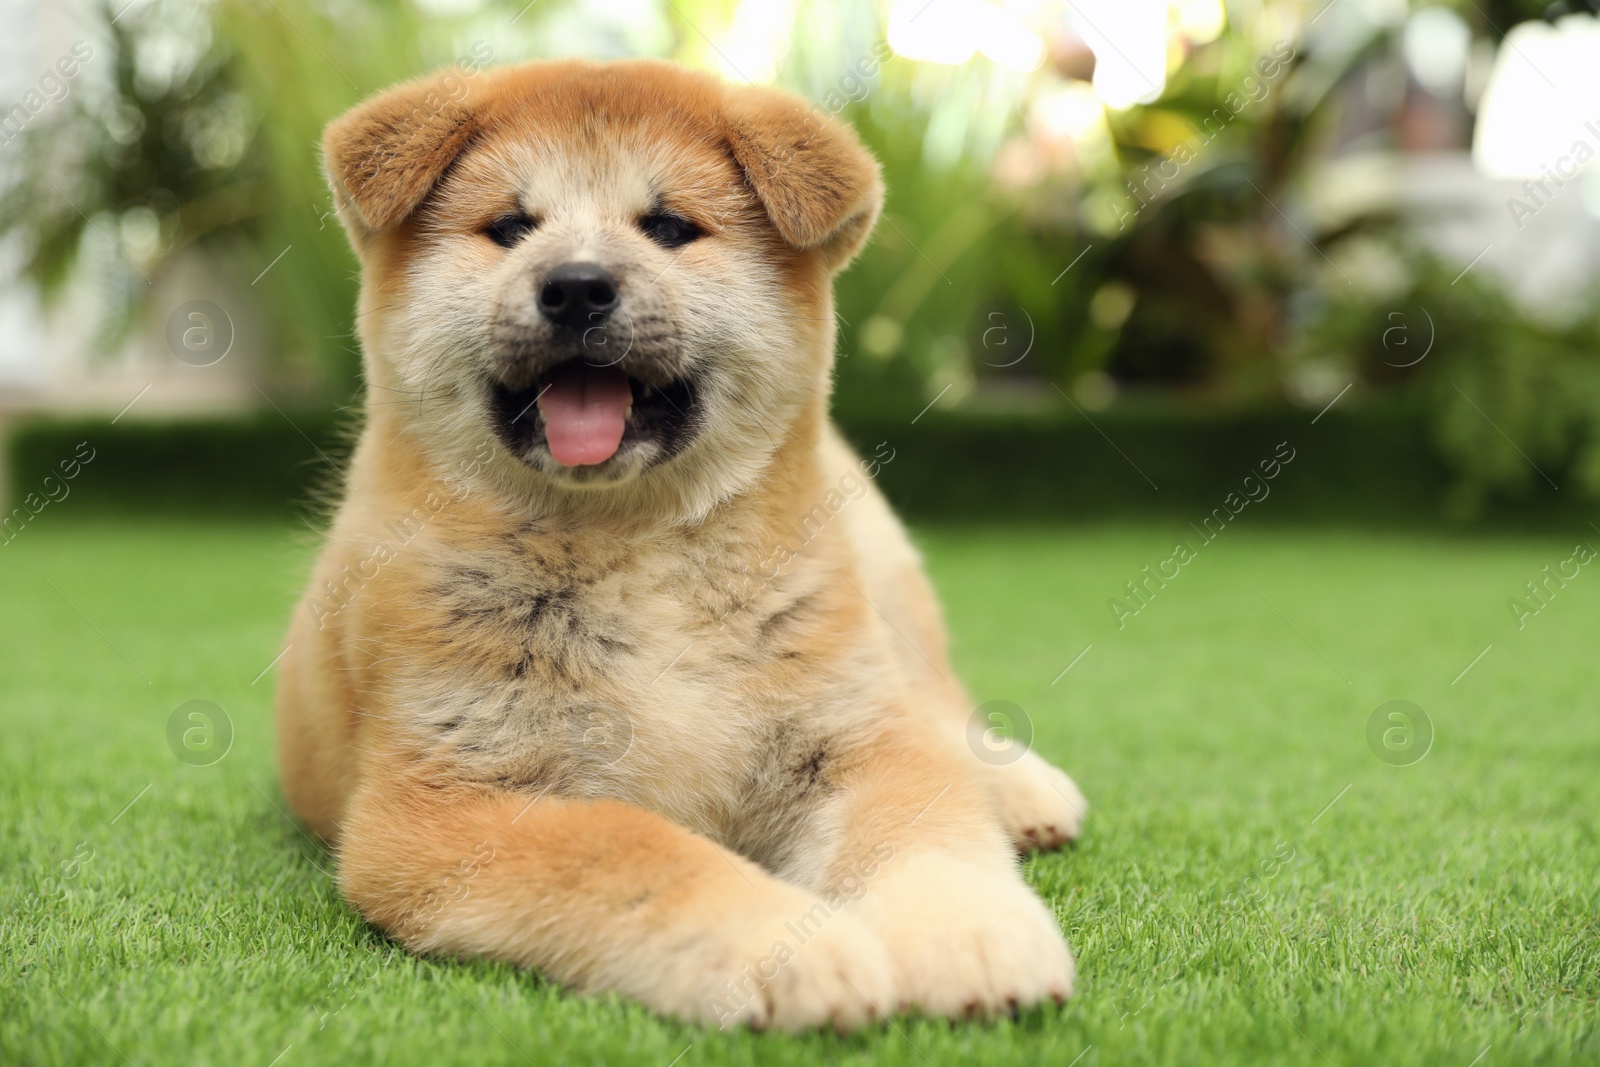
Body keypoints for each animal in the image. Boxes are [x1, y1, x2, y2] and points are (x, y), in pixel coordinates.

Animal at [281, 58, 1094, 1036]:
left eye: (669, 228)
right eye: (511, 228)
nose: (577, 286)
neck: (634, 543)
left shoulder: (850, 740)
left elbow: (917, 822)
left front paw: (965, 931)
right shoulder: (445, 802)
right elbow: (633, 848)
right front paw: (792, 946)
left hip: (885, 577)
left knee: (934, 700)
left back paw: (1017, 788)